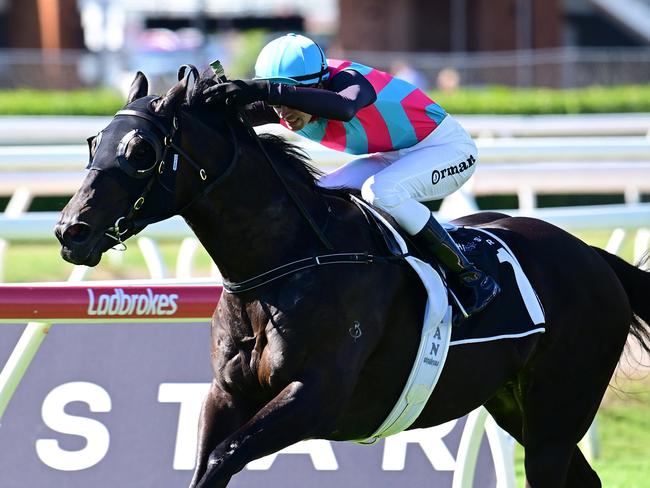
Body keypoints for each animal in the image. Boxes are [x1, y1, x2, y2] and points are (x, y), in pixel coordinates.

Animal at [53, 69, 644, 488]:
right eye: (94, 142)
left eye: (141, 151)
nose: (70, 231)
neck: (284, 267)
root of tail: (591, 255)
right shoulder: (226, 394)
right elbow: (204, 468)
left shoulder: (315, 397)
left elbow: (225, 458)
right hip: (512, 402)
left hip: (557, 413)